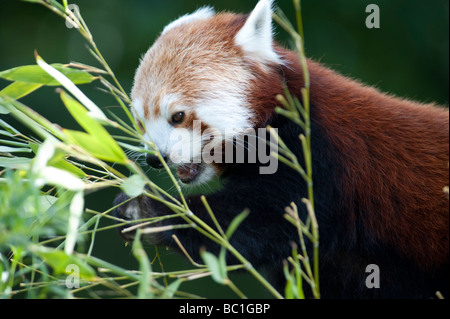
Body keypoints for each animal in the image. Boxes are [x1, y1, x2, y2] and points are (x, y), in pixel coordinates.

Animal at [113, 0, 450, 300]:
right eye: (140, 121)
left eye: (178, 116)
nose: (156, 159)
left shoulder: (319, 155)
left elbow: (262, 221)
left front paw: (151, 210)